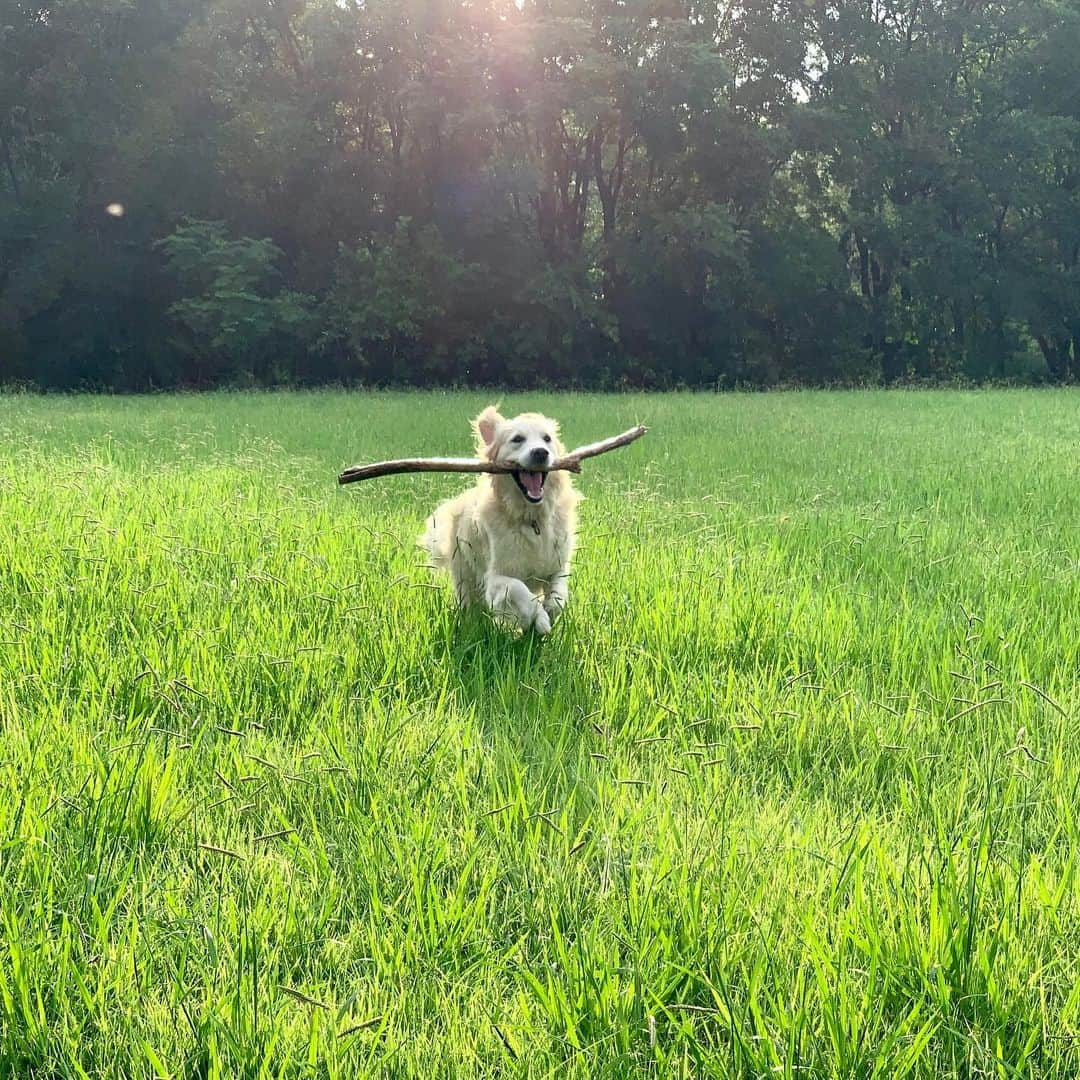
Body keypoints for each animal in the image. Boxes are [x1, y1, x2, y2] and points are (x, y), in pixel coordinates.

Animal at [419, 408, 583, 635]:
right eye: (517, 439)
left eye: (547, 439)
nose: (541, 452)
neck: (531, 519)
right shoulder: (494, 578)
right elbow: (518, 589)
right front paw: (539, 619)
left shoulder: (558, 565)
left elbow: (559, 593)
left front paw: (549, 609)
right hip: (464, 575)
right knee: (468, 602)